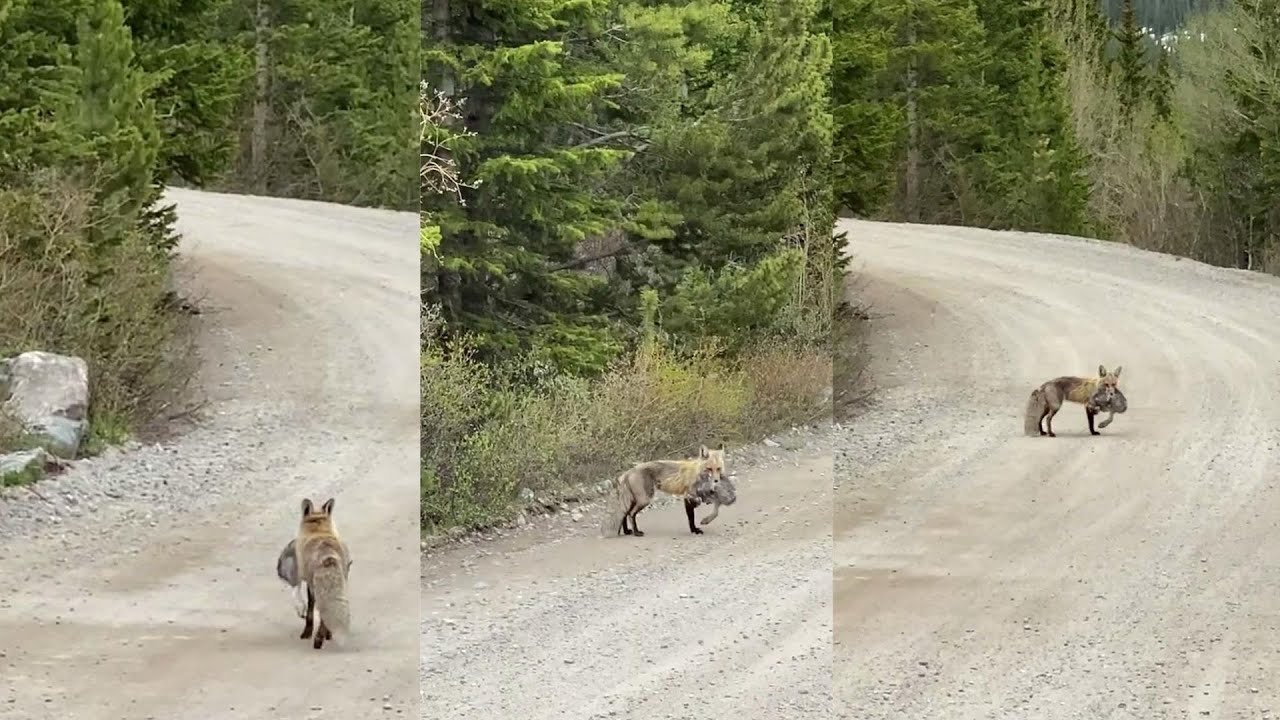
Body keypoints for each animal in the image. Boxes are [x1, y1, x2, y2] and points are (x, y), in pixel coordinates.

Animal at [295, 497, 352, 650]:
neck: (319, 531)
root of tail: (329, 558)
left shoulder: (309, 583)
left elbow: (310, 610)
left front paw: (307, 633)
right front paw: (328, 634)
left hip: (319, 589)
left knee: (321, 614)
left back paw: (318, 640)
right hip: (342, 585)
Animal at [599, 444, 731, 538]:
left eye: (718, 469)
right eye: (709, 469)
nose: (716, 481)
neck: (698, 474)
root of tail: (628, 471)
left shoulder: (702, 497)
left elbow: (716, 511)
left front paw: (705, 521)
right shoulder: (688, 496)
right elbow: (691, 518)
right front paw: (694, 530)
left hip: (635, 500)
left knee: (625, 514)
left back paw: (627, 531)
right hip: (644, 499)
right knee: (631, 514)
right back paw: (636, 533)